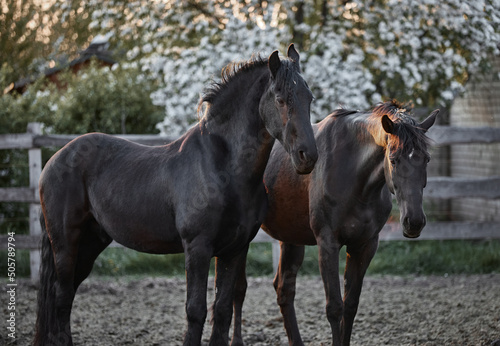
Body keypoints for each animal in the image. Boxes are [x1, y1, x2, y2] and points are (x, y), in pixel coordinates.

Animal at [35, 45, 318, 346]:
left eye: (309, 98)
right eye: (280, 99)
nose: (307, 156)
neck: (223, 167)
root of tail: (55, 160)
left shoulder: (234, 249)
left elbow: (222, 310)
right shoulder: (197, 246)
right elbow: (195, 311)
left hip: (91, 242)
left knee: (65, 294)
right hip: (66, 241)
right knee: (62, 295)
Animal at [231, 101, 438, 344]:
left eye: (426, 159)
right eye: (393, 160)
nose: (414, 222)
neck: (355, 178)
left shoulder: (364, 245)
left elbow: (350, 306)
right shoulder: (328, 244)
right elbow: (335, 307)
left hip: (290, 239)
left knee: (284, 289)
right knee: (238, 289)